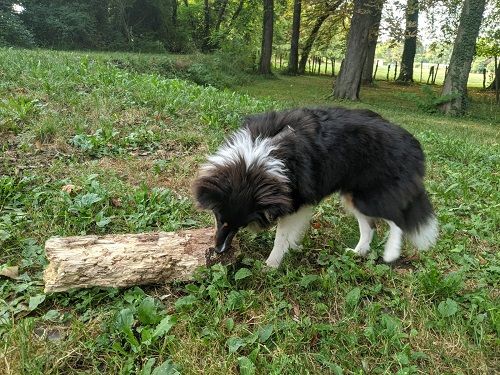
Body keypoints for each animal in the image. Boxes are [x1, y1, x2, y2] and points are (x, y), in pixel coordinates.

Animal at [191, 107, 438, 268]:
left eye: (239, 225)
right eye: (219, 218)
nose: (218, 250)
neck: (260, 155)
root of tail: (413, 144)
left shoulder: (295, 202)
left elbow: (281, 237)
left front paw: (271, 265)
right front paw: (292, 248)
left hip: (370, 196)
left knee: (397, 219)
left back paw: (391, 253)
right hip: (353, 196)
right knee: (370, 226)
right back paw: (357, 252)